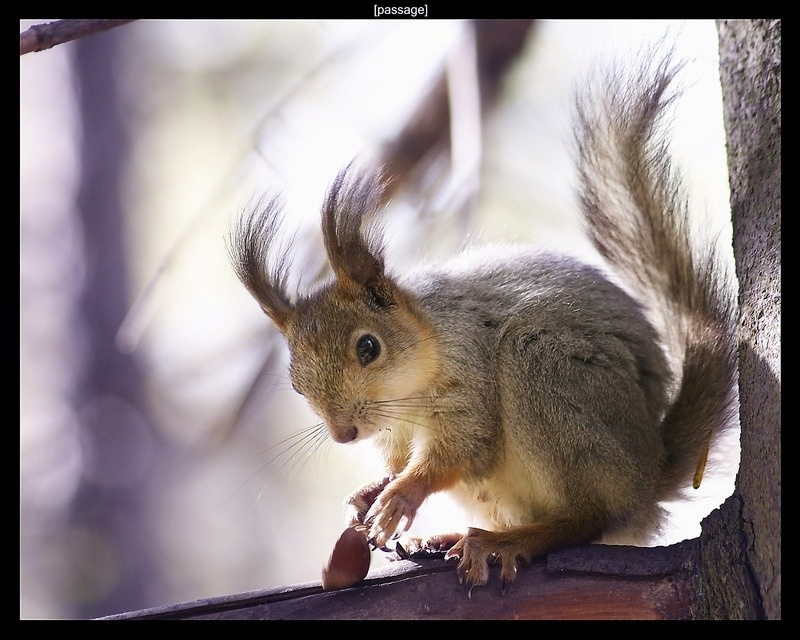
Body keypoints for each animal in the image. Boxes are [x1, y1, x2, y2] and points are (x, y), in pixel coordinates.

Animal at [228, 47, 738, 593]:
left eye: (368, 347)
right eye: (296, 383)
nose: (344, 434)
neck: (410, 390)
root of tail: (648, 478)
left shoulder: (470, 370)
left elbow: (464, 447)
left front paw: (402, 494)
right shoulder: (394, 433)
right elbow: (397, 461)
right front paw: (368, 492)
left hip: (545, 370)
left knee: (587, 518)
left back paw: (509, 542)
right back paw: (452, 537)